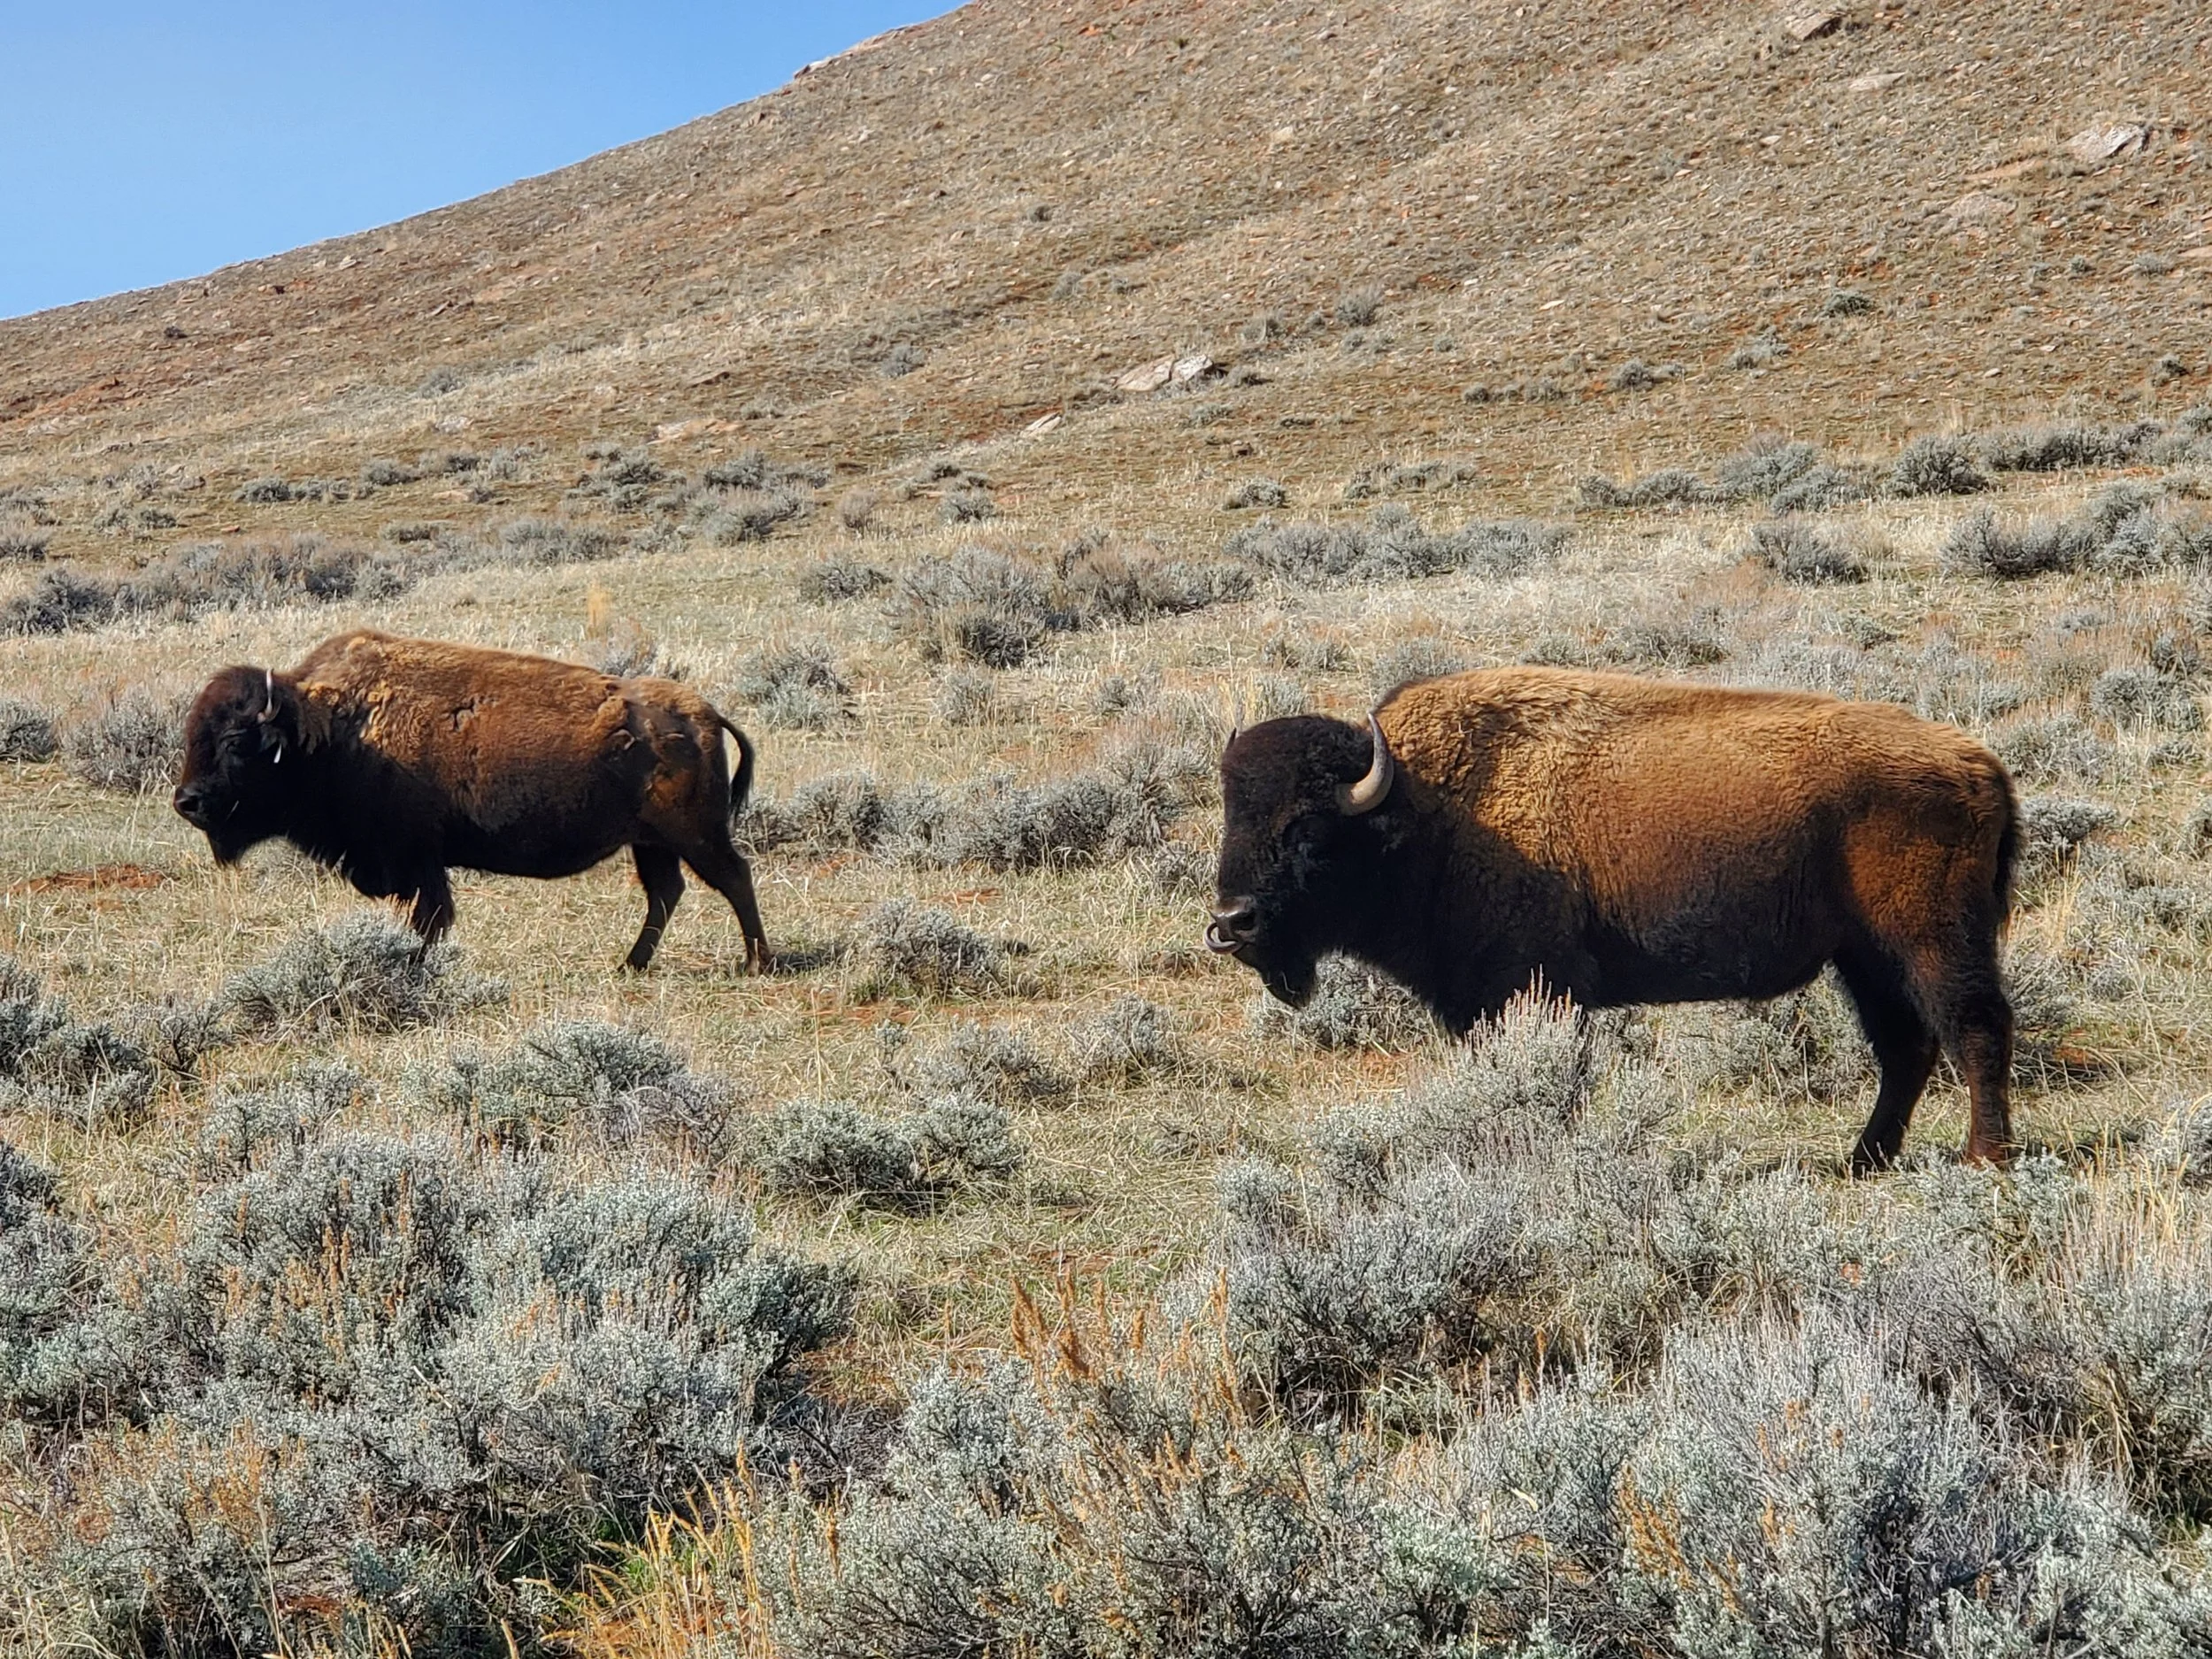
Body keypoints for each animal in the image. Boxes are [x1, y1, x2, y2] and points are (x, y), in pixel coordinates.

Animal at [173, 629, 769, 970]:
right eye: (192, 737)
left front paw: (415, 965)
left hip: (695, 834)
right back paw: (631, 964)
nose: (187, 802)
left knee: (734, 878)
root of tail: (705, 714)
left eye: (235, 742)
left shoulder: (415, 858)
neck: (330, 729)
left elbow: (429, 916)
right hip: (651, 842)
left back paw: (756, 962)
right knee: (666, 893)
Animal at [1208, 666, 2020, 1169]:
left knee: (1974, 1027)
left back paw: (1984, 1155)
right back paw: (1863, 1158)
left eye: (1308, 830)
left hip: (1931, 941)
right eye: (1230, 817)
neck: (1426, 808)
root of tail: (1979, 763)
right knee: (1906, 1046)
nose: (1232, 922)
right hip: (1864, 956)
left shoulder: (1537, 987)